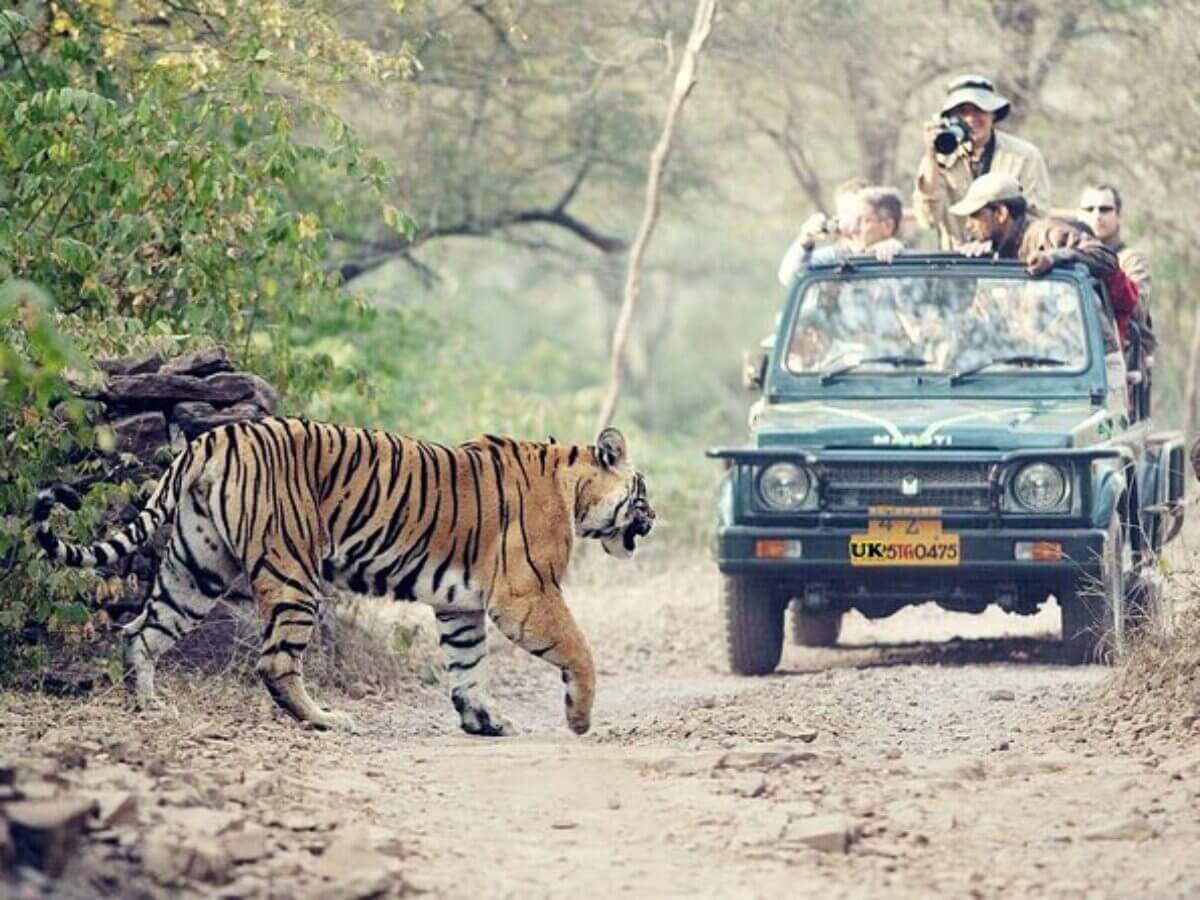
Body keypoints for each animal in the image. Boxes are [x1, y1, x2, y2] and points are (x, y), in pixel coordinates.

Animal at [32, 420, 652, 734]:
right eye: (642, 492)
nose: (654, 518)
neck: (574, 491)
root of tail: (213, 437)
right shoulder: (527, 593)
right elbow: (579, 650)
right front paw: (579, 719)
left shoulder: (462, 603)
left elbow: (468, 664)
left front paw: (483, 720)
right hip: (293, 574)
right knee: (275, 662)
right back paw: (327, 719)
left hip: (196, 570)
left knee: (140, 631)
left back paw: (149, 707)